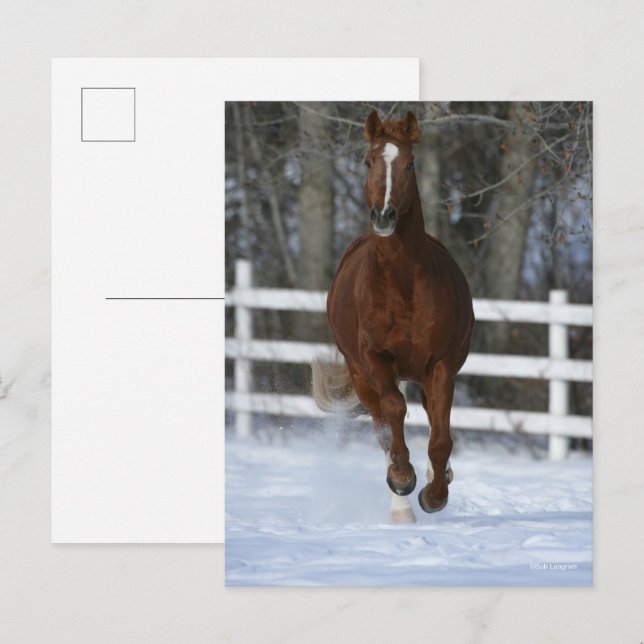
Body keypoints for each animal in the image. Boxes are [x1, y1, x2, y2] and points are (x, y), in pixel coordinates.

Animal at [312, 110, 474, 523]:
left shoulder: (441, 365)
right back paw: (401, 505)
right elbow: (394, 413)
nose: (383, 216)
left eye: (410, 163)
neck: (403, 288)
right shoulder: (375, 361)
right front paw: (403, 479)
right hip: (360, 376)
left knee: (432, 418)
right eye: (368, 161)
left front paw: (435, 494)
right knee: (383, 426)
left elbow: (440, 437)